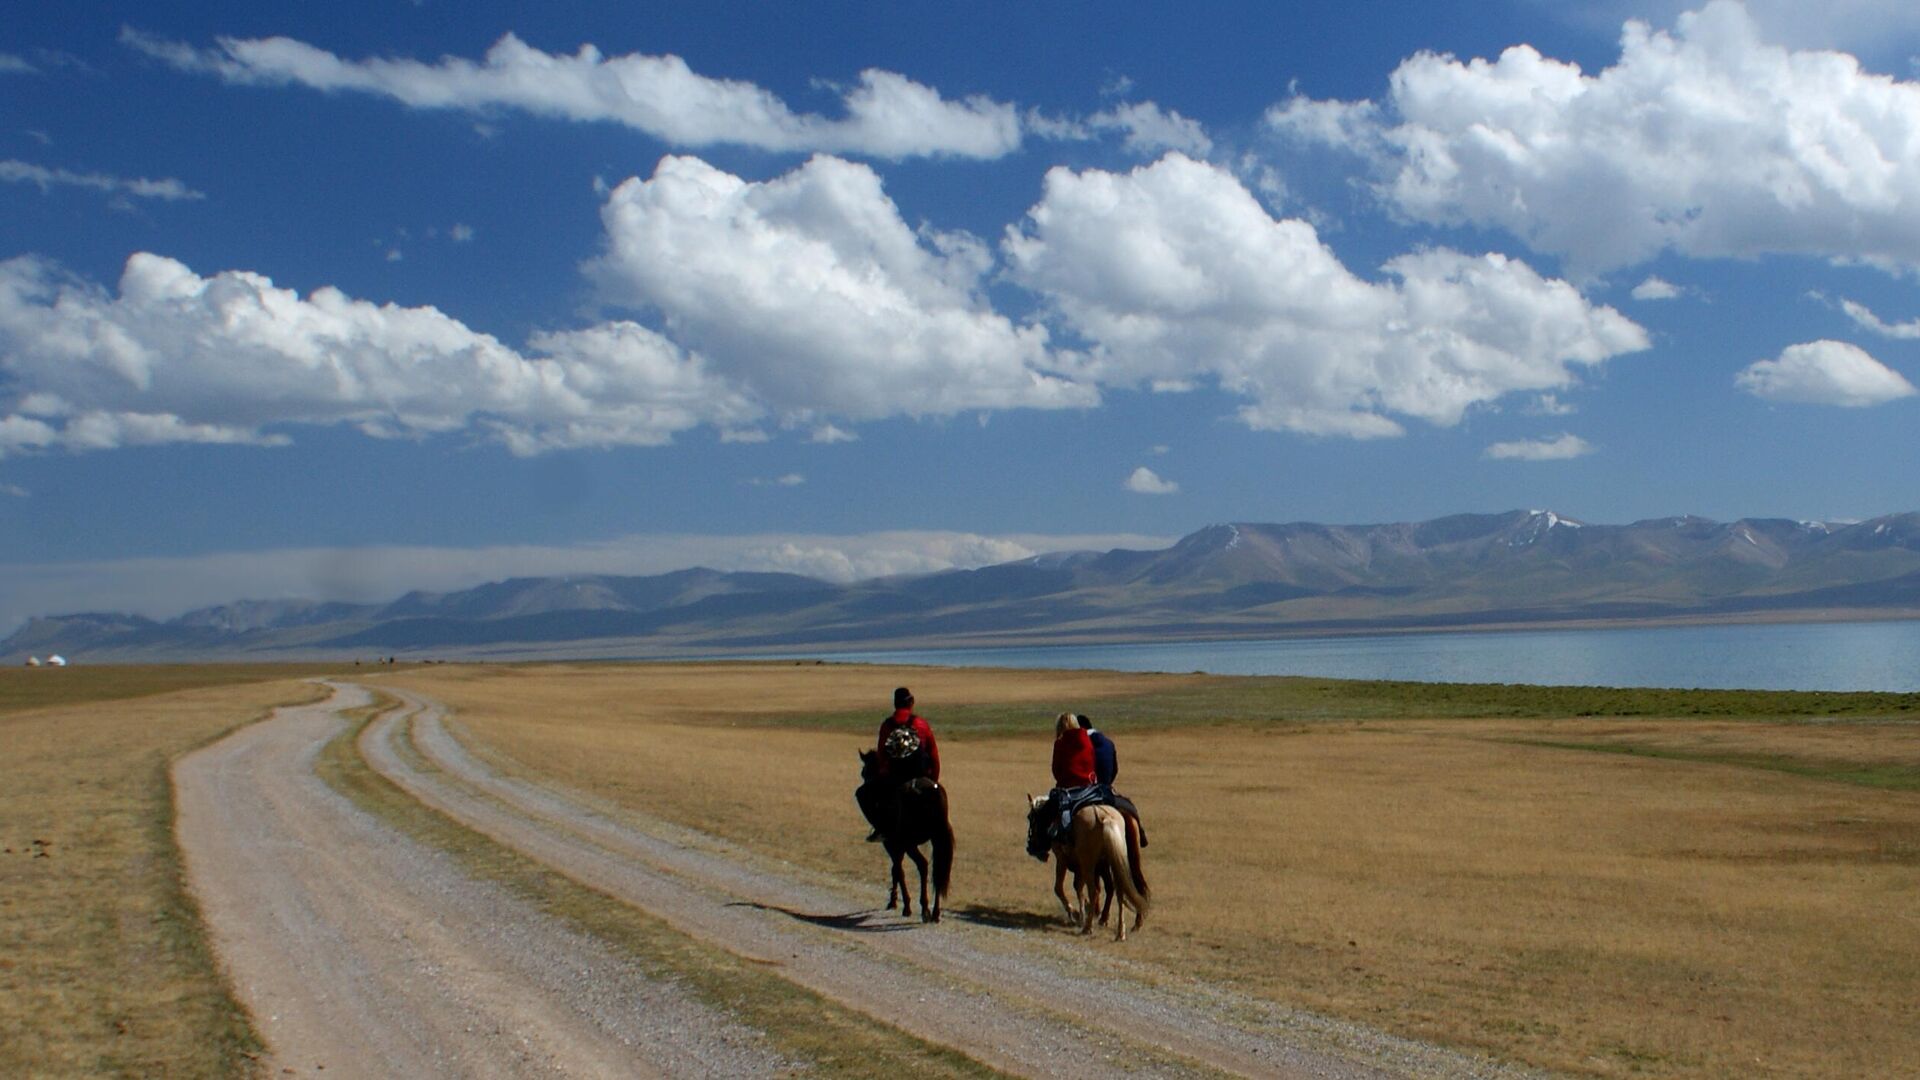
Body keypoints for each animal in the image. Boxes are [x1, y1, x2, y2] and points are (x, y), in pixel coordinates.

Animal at [856, 749, 952, 914]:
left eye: (865, 771)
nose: (864, 786)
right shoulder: (897, 846)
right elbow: (896, 870)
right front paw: (894, 901)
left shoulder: (892, 844)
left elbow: (897, 870)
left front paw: (901, 903)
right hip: (936, 840)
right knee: (937, 870)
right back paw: (935, 912)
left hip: (909, 843)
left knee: (923, 865)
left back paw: (923, 908)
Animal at [1029, 791, 1144, 933]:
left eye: (1030, 817)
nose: (1031, 847)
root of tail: (1105, 819)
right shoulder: (1086, 865)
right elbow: (1080, 887)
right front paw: (1084, 913)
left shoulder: (1063, 859)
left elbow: (1060, 887)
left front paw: (1075, 913)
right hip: (1118, 861)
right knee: (1124, 888)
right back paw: (1121, 927)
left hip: (1092, 863)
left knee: (1096, 890)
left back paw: (1090, 926)